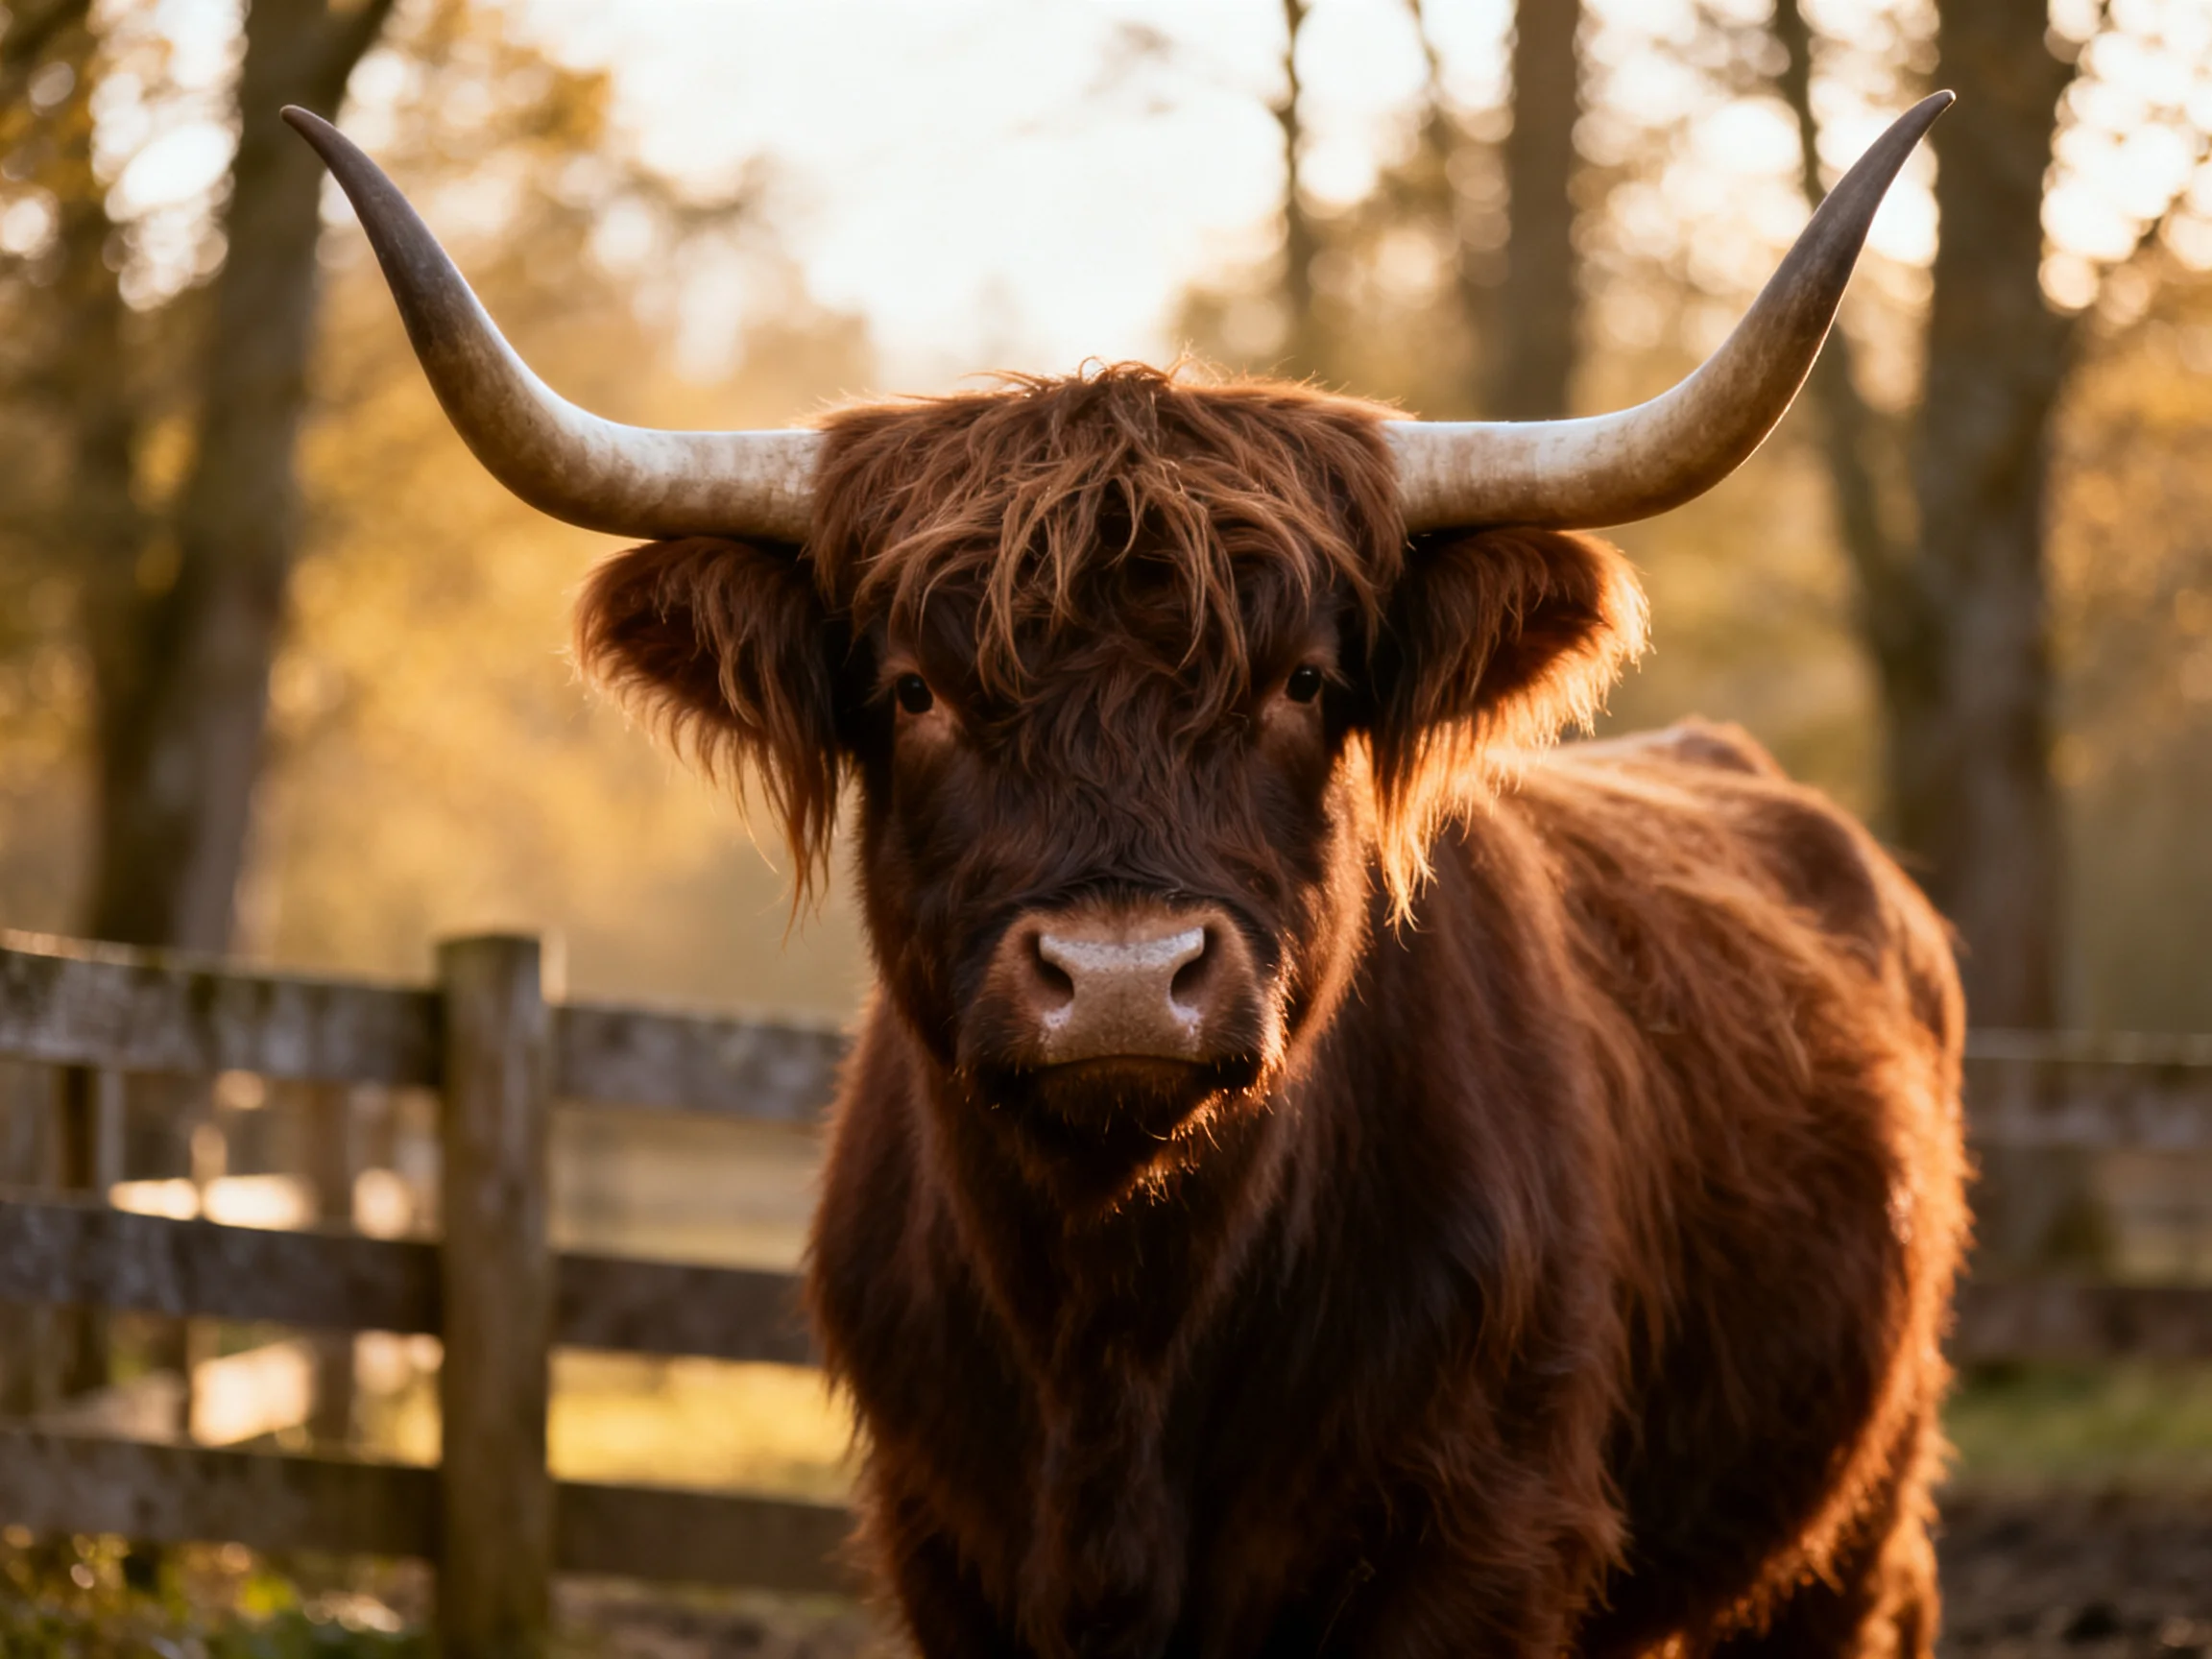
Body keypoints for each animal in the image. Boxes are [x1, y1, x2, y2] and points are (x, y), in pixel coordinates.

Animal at [291, 92, 1968, 1658]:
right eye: (913, 690)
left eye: (1305, 682)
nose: (1117, 980)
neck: (1116, 1335)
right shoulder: (946, 1547)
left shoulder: (1485, 1544)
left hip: (1857, 1535)